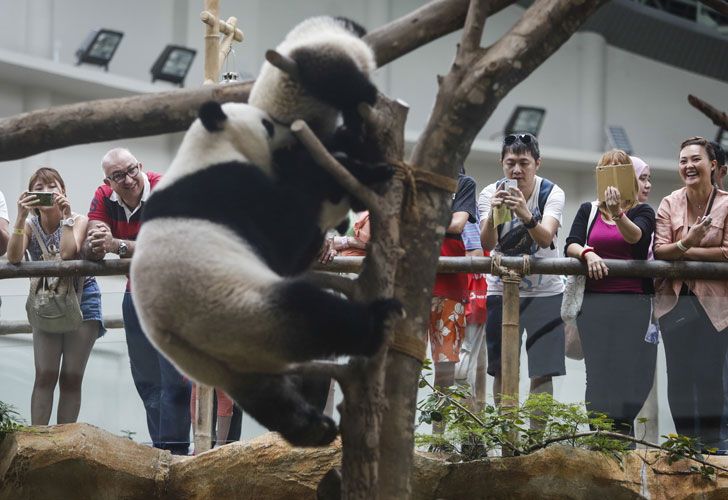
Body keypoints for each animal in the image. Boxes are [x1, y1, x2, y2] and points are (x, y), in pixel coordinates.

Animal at [134, 101, 400, 446]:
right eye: (267, 124)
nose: (293, 134)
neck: (208, 147)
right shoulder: (231, 188)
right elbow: (287, 231)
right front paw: (349, 171)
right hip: (242, 310)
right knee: (315, 312)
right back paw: (376, 323)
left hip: (231, 369)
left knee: (269, 399)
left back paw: (312, 428)